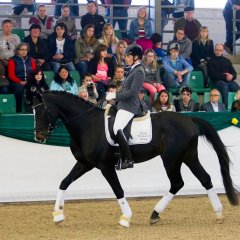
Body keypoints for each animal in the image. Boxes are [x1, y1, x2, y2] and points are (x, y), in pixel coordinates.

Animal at [33, 91, 238, 227]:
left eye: (42, 111)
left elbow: (118, 190)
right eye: (33, 112)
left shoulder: (105, 166)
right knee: (204, 179)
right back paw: (218, 214)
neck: (87, 125)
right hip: (188, 156)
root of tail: (189, 120)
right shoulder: (85, 163)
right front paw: (58, 215)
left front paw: (126, 218)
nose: (39, 137)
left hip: (171, 159)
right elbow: (64, 182)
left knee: (178, 183)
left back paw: (156, 214)